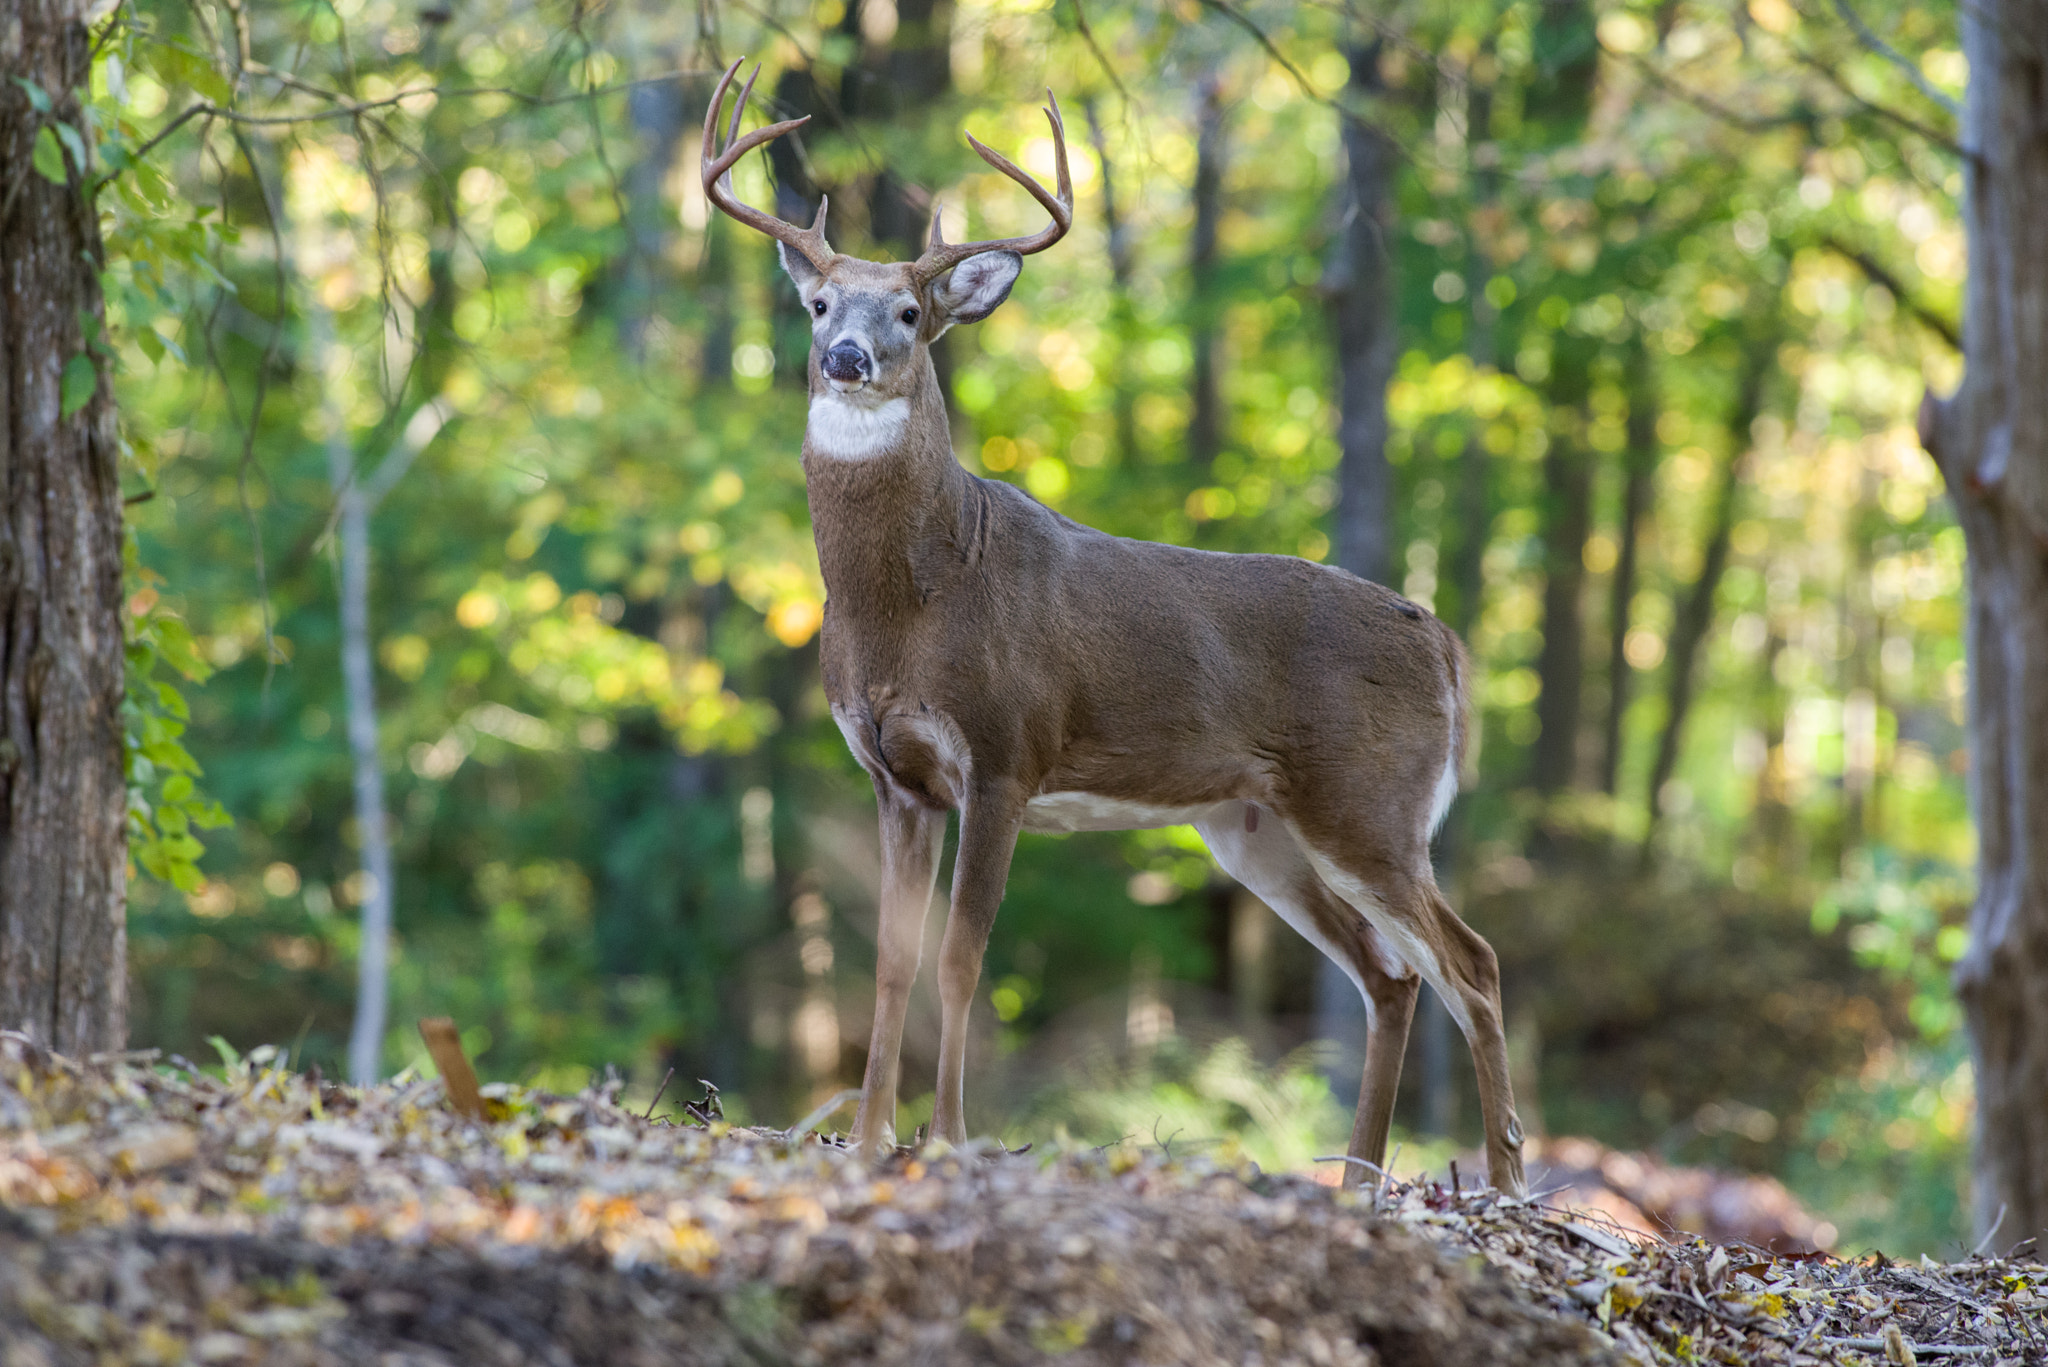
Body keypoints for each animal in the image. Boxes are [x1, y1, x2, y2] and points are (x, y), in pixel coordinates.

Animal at [704, 61, 1523, 1196]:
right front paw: (868, 1142)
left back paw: (1504, 1182)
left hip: (1372, 799)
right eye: (819, 301)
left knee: (1470, 960)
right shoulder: (895, 774)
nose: (846, 356)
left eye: (910, 310)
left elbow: (961, 956)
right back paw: (1356, 1179)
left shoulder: (1004, 752)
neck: (910, 604)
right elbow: (893, 960)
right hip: (1253, 825)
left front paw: (947, 1136)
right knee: (1390, 971)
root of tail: (1443, 641)